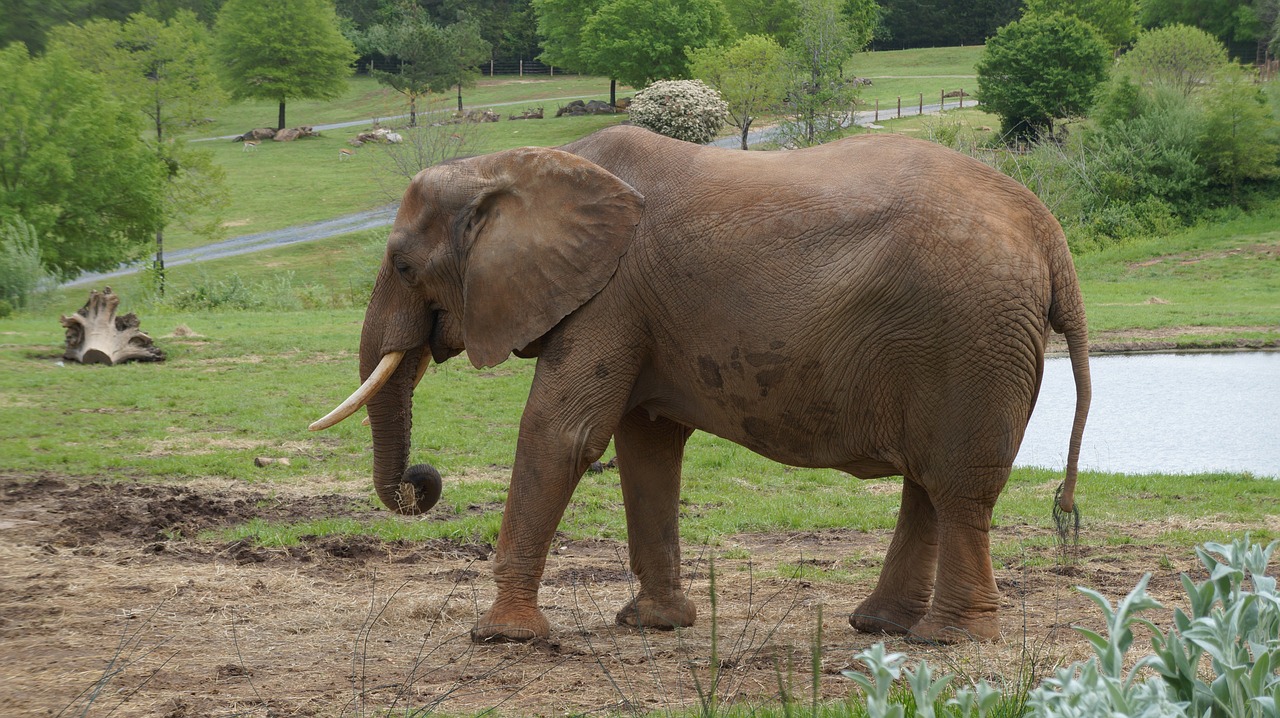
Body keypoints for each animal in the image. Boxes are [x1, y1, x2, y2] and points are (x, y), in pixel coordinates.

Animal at [312, 124, 1090, 645]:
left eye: (402, 265)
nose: (422, 480)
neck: (521, 164)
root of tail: (1050, 232)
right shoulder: (633, 310)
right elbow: (646, 447)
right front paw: (654, 625)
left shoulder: (609, 297)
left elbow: (561, 434)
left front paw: (503, 638)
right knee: (928, 485)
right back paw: (879, 628)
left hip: (972, 334)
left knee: (956, 486)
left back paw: (947, 639)